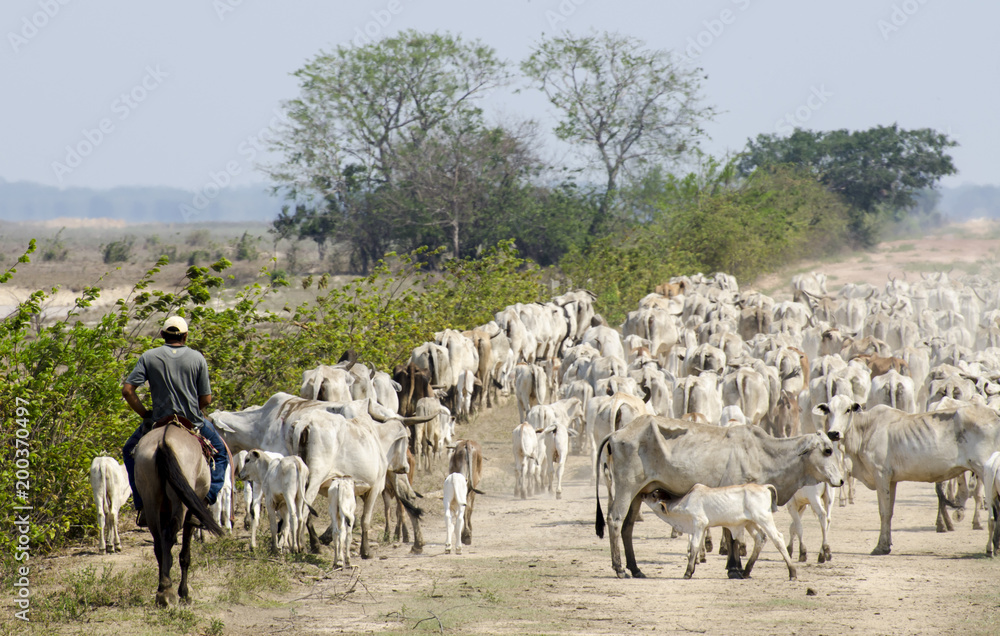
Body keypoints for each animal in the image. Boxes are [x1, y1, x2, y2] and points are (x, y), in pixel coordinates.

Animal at [595, 416, 843, 579]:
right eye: (827, 450)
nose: (840, 480)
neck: (764, 454)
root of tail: (616, 433)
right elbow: (732, 536)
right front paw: (734, 568)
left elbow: (732, 532)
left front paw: (735, 566)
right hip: (627, 488)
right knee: (615, 521)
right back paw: (619, 569)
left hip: (639, 494)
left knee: (627, 527)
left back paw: (635, 568)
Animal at [817, 400, 1000, 555]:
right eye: (828, 410)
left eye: (847, 410)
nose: (833, 433)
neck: (865, 429)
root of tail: (994, 413)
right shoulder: (891, 480)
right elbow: (889, 512)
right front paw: (887, 544)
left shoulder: (880, 475)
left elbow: (883, 512)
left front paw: (880, 547)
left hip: (985, 472)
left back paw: (989, 547)